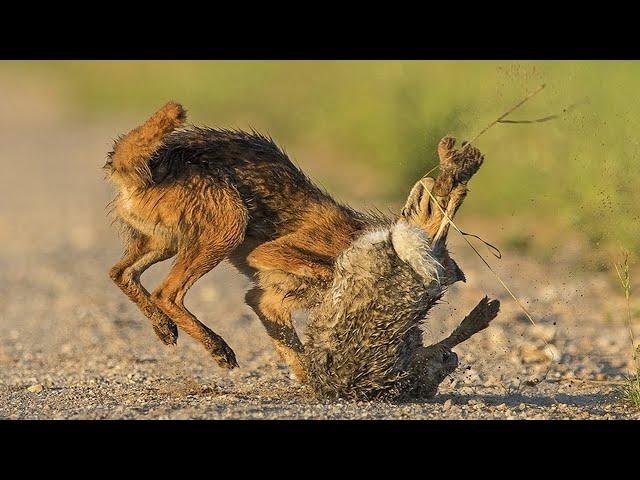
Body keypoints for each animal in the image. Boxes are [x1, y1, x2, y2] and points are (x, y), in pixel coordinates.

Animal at [106, 102, 490, 382]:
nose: (418, 307)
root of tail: (146, 164)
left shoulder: (266, 300)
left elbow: (292, 349)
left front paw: (314, 380)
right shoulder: (268, 254)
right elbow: (327, 273)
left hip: (167, 243)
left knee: (121, 273)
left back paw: (164, 329)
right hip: (229, 226)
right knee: (165, 292)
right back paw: (217, 348)